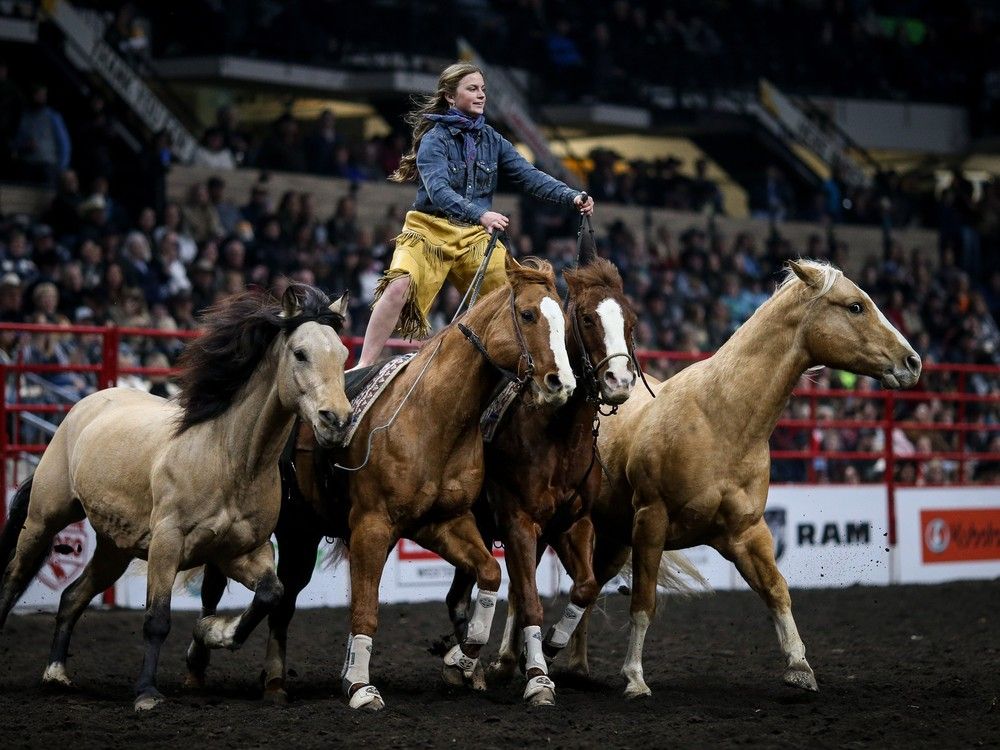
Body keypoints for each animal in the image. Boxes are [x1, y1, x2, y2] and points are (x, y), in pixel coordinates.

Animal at [0, 284, 352, 712]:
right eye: (300, 353)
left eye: (343, 354)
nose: (337, 419)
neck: (228, 458)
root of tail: (83, 406)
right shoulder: (167, 544)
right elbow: (157, 619)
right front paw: (147, 693)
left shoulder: (242, 552)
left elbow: (271, 594)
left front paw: (214, 631)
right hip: (44, 519)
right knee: (14, 579)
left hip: (114, 549)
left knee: (70, 596)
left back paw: (56, 674)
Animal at [186, 258, 580, 712]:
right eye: (529, 314)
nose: (562, 383)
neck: (433, 415)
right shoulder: (372, 526)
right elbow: (366, 608)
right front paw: (360, 686)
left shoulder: (443, 522)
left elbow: (489, 573)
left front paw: (464, 657)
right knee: (216, 588)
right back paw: (199, 659)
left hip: (302, 534)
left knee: (284, 600)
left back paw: (274, 682)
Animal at [446, 256, 640, 708]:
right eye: (586, 319)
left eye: (632, 322)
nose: (620, 382)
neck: (558, 436)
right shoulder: (518, 523)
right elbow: (531, 602)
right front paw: (537, 679)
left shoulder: (573, 524)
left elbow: (585, 587)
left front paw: (551, 644)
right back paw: (470, 663)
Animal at [556, 262, 920, 704]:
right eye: (855, 306)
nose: (912, 361)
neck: (720, 419)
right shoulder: (651, 521)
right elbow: (644, 601)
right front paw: (635, 678)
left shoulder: (746, 531)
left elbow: (777, 590)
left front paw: (799, 668)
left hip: (612, 540)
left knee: (587, 589)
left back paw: (577, 668)